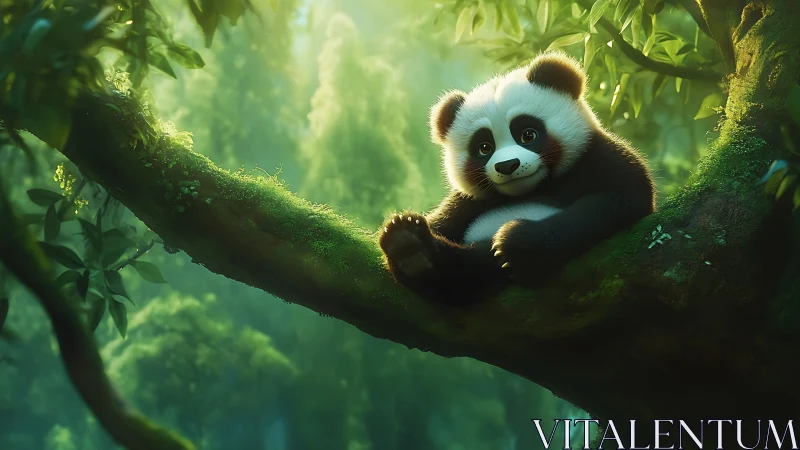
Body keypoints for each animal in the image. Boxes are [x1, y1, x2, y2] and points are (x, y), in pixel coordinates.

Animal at [378, 51, 656, 304]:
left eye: (528, 134)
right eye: (484, 147)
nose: (508, 165)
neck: (533, 189)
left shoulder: (596, 157)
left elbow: (618, 199)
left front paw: (515, 244)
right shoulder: (467, 201)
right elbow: (443, 222)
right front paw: (403, 235)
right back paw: (410, 247)